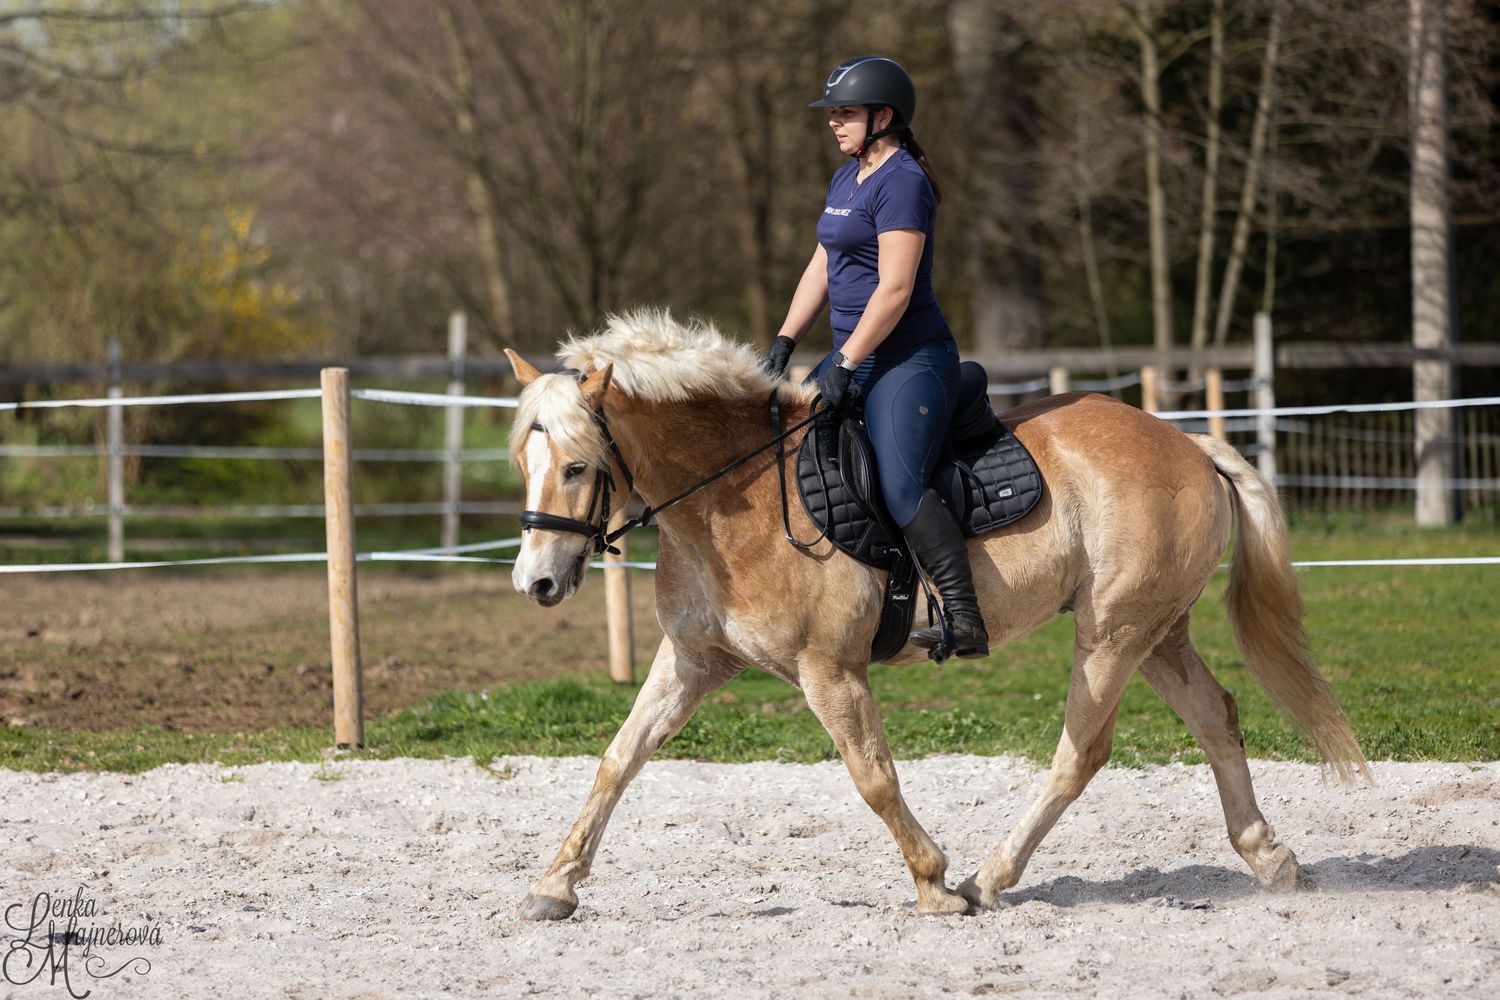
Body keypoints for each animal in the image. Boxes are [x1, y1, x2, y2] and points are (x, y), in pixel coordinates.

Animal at [502, 309, 1366, 920]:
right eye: (523, 461)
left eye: (577, 466)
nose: (535, 582)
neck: (730, 497)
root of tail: (1189, 446)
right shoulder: (692, 660)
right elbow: (618, 759)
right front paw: (555, 886)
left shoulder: (830, 671)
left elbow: (874, 778)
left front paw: (934, 884)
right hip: (1157, 633)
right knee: (1217, 718)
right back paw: (1269, 858)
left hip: (1112, 634)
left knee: (1081, 753)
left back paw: (990, 877)